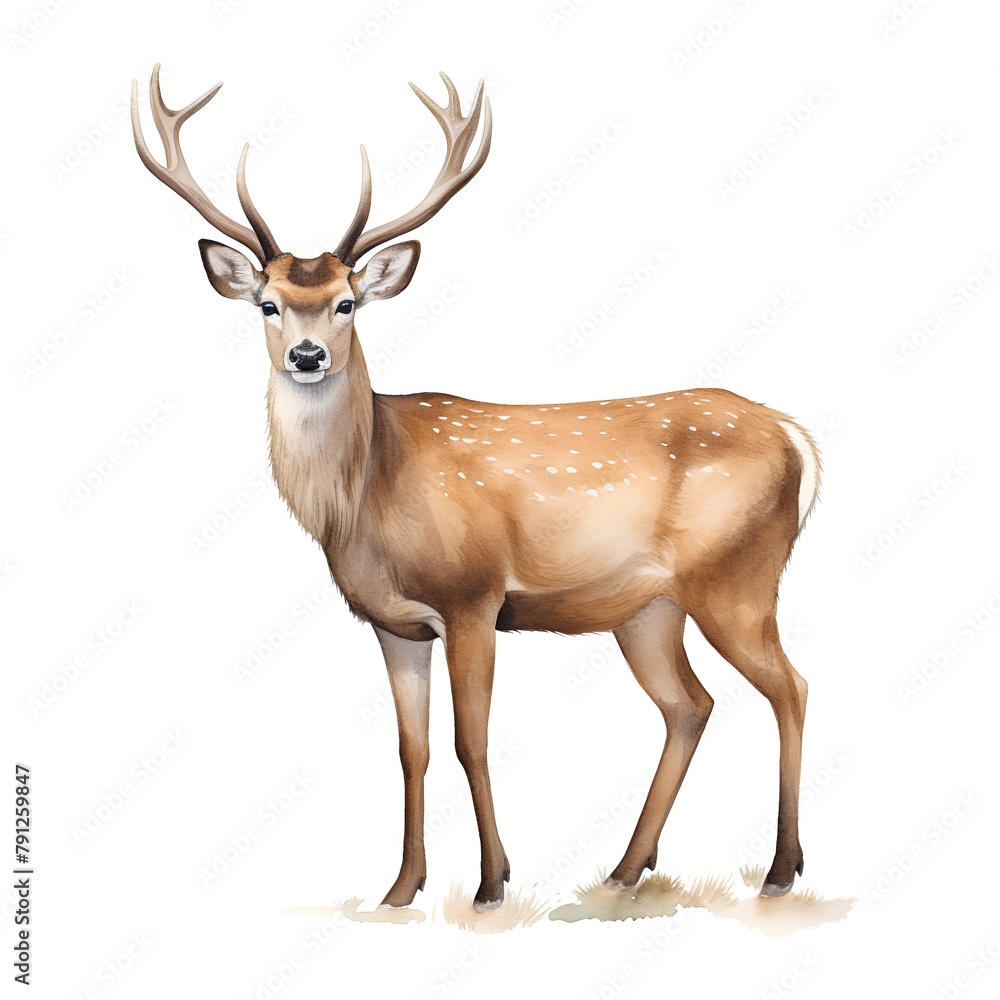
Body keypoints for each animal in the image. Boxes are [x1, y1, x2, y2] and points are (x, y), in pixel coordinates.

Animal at [131, 64, 820, 911]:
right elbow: (412, 749)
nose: (306, 355)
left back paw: (781, 869)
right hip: (648, 607)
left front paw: (492, 881)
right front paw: (401, 887)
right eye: (268, 302)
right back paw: (625, 871)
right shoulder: (395, 623)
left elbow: (471, 740)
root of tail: (795, 435)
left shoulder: (472, 596)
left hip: (738, 576)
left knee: (790, 687)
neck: (368, 497)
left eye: (346, 302)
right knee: (690, 705)